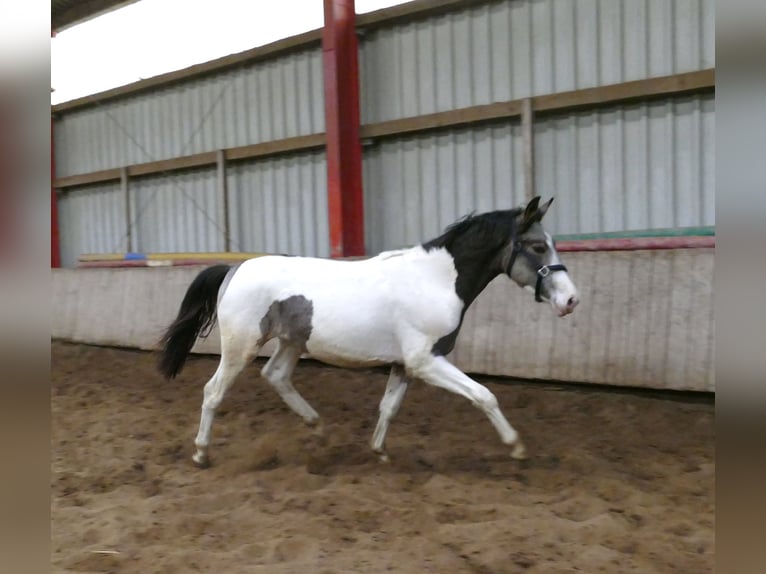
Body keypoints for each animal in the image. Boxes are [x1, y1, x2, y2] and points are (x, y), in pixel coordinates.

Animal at [158, 196, 579, 468]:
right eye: (537, 246)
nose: (571, 300)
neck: (435, 279)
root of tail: (234, 269)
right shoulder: (426, 360)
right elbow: (484, 395)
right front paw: (517, 447)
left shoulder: (406, 364)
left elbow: (388, 407)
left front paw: (380, 452)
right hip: (241, 346)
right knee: (213, 392)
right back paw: (201, 452)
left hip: (292, 342)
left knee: (275, 375)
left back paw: (318, 429)